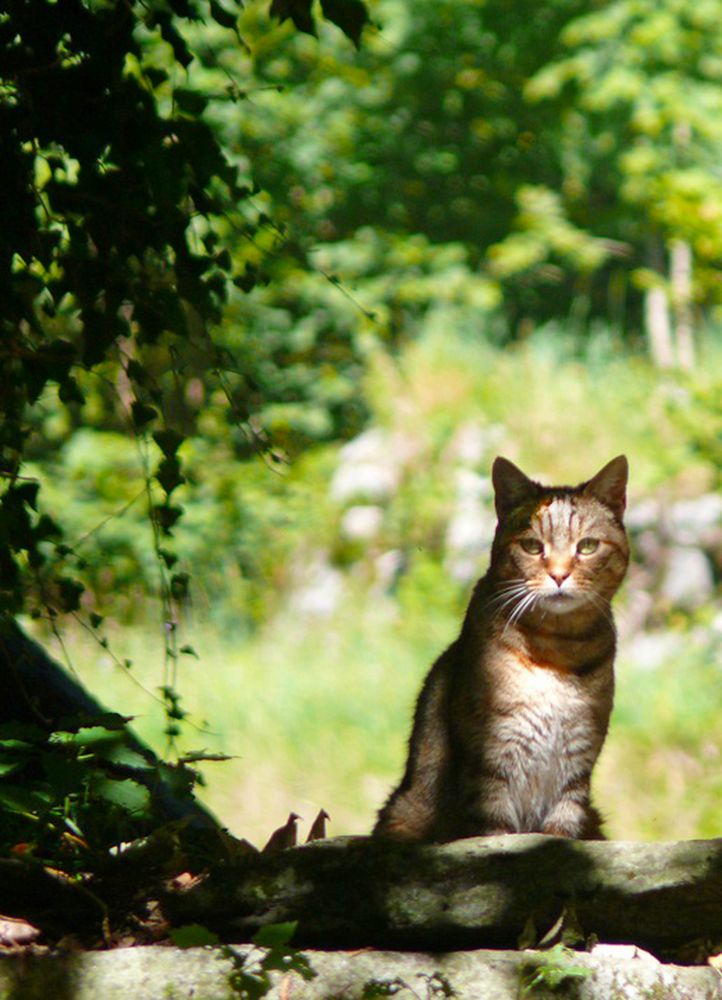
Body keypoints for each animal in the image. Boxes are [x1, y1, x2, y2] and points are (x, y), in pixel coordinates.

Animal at [374, 458, 628, 840]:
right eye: (533, 546)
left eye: (587, 546)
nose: (559, 575)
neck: (557, 649)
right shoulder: (490, 754)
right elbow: (495, 826)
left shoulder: (579, 756)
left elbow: (563, 823)